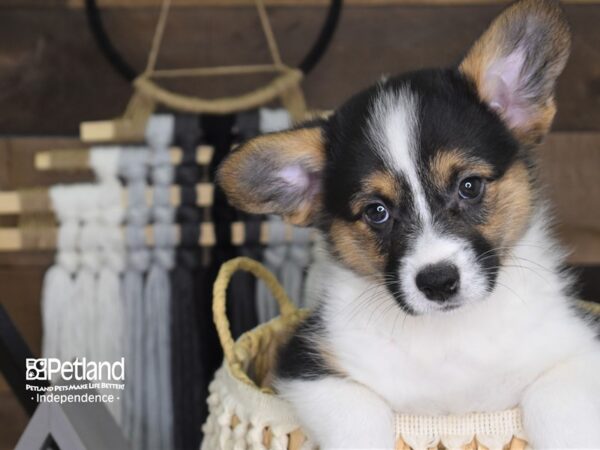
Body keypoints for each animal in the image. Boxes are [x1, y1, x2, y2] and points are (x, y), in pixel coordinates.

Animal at [218, 0, 600, 446]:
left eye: (469, 186)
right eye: (376, 211)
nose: (438, 283)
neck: (449, 334)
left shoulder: (579, 346)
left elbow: (559, 404)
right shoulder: (307, 365)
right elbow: (358, 419)